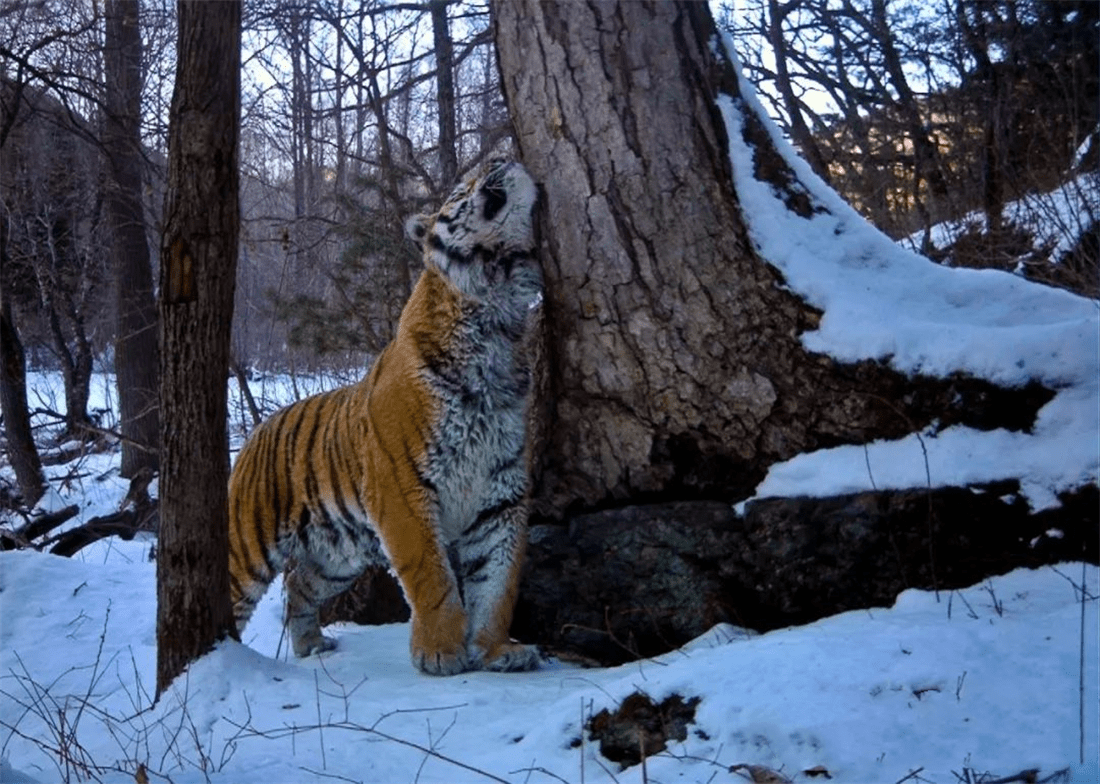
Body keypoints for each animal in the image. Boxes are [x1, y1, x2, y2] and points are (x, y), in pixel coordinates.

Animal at [228, 158, 543, 676]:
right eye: (463, 183)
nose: (501, 156)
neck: (496, 320)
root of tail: (258, 428)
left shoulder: (501, 496)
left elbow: (498, 585)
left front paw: (498, 651)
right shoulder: (403, 490)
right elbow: (434, 577)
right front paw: (440, 652)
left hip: (338, 552)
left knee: (299, 586)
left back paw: (312, 646)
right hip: (248, 545)